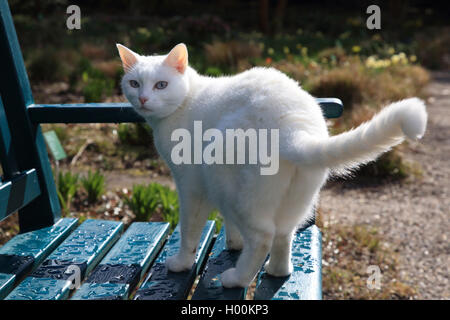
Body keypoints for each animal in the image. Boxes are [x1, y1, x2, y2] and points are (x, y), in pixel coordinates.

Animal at [118, 42, 428, 288]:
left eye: (161, 85)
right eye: (134, 83)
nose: (143, 98)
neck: (186, 101)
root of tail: (293, 126)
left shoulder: (191, 188)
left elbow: (189, 232)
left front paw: (182, 263)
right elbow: (230, 225)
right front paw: (233, 244)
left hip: (225, 180)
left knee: (262, 237)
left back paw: (237, 279)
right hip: (290, 199)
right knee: (282, 236)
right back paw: (276, 272)